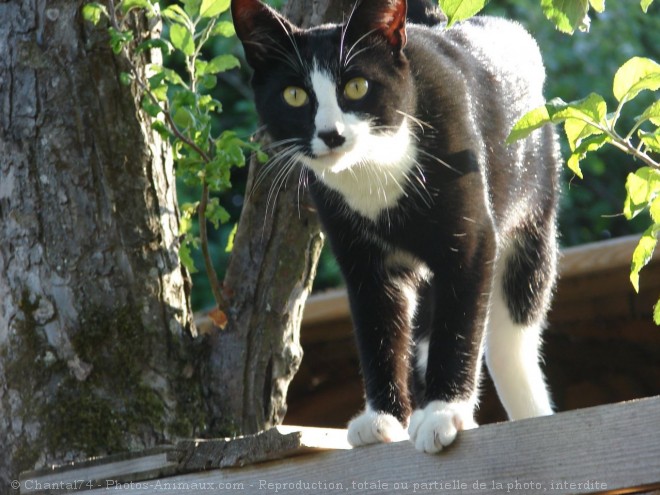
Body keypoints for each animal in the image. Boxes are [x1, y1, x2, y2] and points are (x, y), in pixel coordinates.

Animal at [229, 0, 560, 454]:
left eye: (356, 87)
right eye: (294, 95)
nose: (331, 134)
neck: (376, 169)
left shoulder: (472, 239)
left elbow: (460, 324)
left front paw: (443, 413)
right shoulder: (359, 255)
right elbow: (378, 325)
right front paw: (383, 419)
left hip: (534, 207)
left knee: (512, 333)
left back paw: (527, 410)